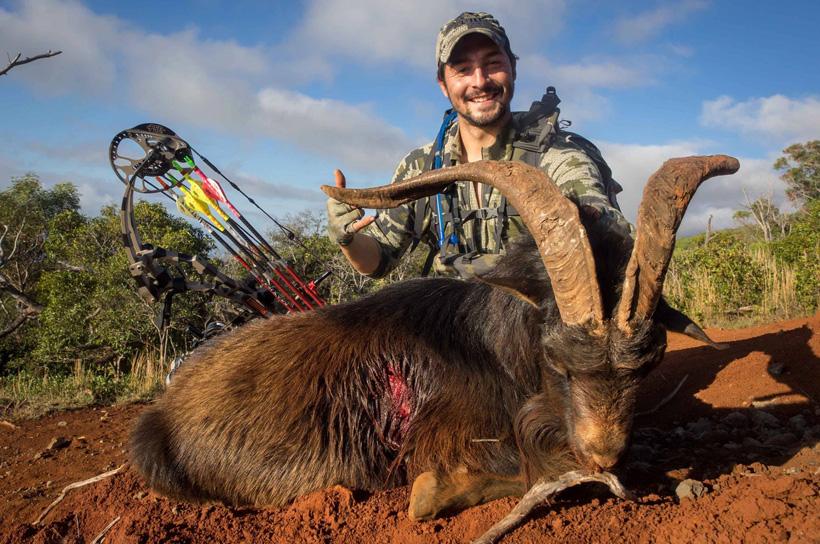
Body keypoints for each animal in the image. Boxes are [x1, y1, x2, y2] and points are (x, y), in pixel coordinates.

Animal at [130, 155, 739, 520]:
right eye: (558, 361)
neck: (493, 347)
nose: (603, 452)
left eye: (647, 364)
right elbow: (515, 475)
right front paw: (432, 493)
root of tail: (160, 417)